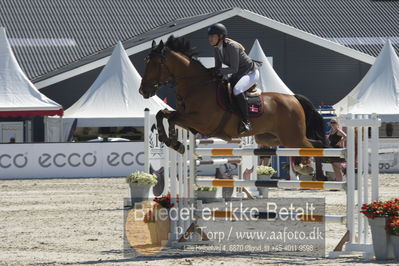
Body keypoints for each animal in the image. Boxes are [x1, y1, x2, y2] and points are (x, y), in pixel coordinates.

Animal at [139, 36, 326, 174]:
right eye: (146, 61)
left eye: (156, 63)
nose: (143, 91)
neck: (196, 85)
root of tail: (293, 98)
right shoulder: (189, 121)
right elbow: (162, 114)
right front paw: (172, 141)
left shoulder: (201, 122)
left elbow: (170, 116)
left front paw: (173, 141)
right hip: (273, 137)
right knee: (313, 144)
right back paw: (305, 168)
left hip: (292, 136)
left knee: (312, 146)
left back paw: (308, 169)